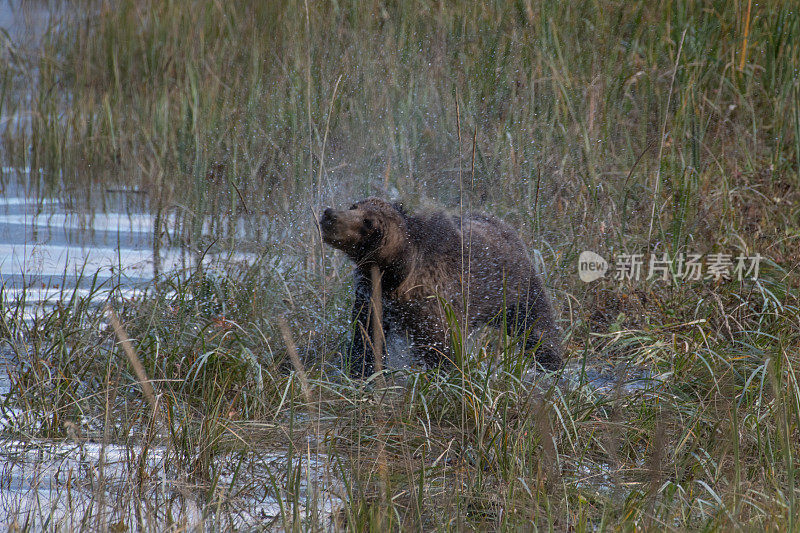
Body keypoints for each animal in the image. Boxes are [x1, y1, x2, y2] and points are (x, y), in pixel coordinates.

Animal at [318, 197, 564, 376]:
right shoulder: (372, 298)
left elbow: (442, 349)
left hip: (513, 287)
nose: (330, 214)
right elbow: (366, 339)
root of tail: (505, 225)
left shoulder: (432, 303)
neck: (394, 277)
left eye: (368, 222)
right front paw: (361, 372)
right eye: (354, 206)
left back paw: (551, 363)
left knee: (536, 325)